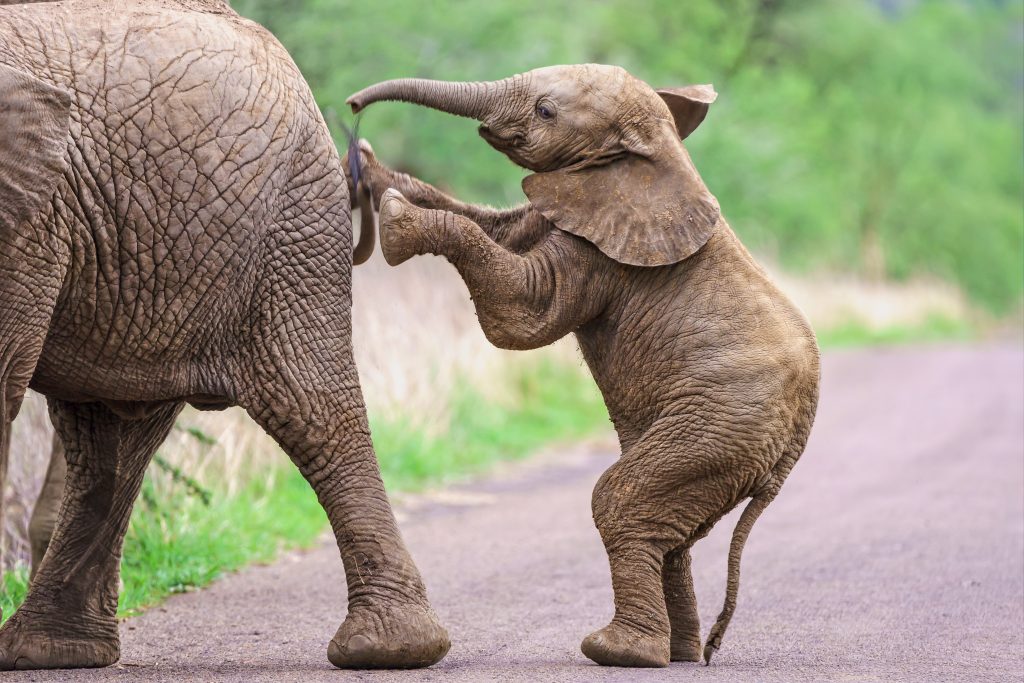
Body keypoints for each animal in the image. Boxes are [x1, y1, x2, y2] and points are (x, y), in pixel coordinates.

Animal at [0, 0, 449, 670]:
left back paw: (388, 650)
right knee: (108, 433)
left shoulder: (26, 215)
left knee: (314, 410)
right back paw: (49, 652)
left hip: (288, 230)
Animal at [346, 64, 821, 668]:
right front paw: (370, 166)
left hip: (726, 424)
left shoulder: (603, 253)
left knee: (622, 501)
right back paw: (680, 654)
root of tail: (798, 435)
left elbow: (522, 314)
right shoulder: (579, 206)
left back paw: (619, 651)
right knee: (671, 533)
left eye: (546, 111)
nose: (353, 104)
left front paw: (395, 217)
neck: (652, 150)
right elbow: (500, 226)